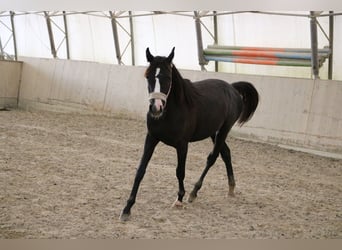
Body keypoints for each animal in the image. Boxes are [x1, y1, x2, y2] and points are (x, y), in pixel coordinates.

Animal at [119, 47, 258, 221]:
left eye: (168, 77)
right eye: (148, 76)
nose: (155, 108)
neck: (172, 111)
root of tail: (232, 88)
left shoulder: (182, 145)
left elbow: (180, 171)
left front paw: (179, 198)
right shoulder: (151, 138)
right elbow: (140, 170)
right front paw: (127, 208)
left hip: (224, 129)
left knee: (212, 157)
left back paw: (194, 192)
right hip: (213, 132)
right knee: (226, 153)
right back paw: (231, 187)